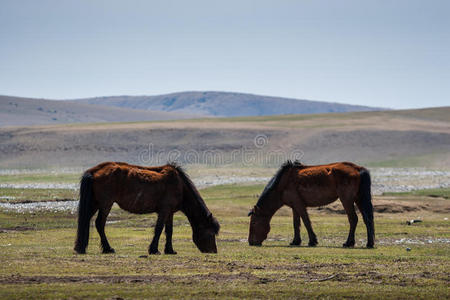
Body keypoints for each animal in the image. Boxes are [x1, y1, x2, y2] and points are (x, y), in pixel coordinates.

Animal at [74, 162, 220, 255]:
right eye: (210, 233)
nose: (213, 251)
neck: (180, 186)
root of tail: (94, 171)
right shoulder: (164, 211)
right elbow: (159, 229)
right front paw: (154, 249)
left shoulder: (170, 213)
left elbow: (169, 231)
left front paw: (170, 250)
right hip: (105, 204)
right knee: (99, 223)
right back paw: (108, 249)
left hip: (95, 203)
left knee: (86, 220)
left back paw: (80, 247)